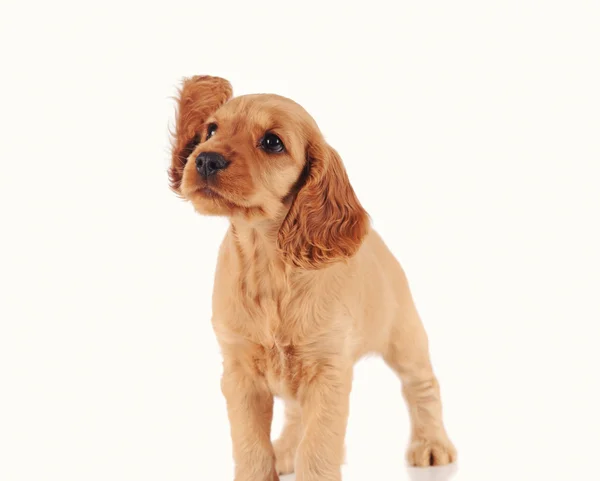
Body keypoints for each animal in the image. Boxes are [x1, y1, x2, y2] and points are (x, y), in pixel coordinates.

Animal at [169, 76, 454, 480]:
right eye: (211, 130)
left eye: (272, 142)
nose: (205, 159)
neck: (267, 261)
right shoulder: (239, 371)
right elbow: (251, 445)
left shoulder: (327, 371)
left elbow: (319, 447)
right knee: (294, 412)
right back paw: (287, 449)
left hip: (405, 336)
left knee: (423, 385)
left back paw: (431, 444)